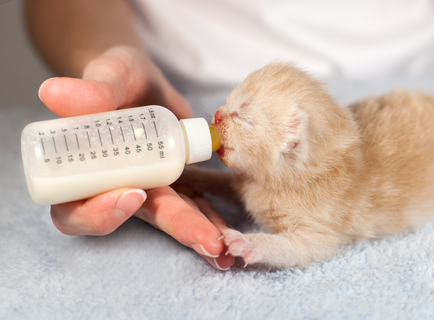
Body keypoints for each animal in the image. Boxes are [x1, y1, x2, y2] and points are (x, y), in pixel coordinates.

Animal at [182, 63, 434, 268]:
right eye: (227, 101)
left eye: (243, 116)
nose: (217, 115)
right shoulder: (245, 181)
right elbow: (220, 181)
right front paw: (191, 174)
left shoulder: (321, 229)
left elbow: (296, 249)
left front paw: (246, 242)